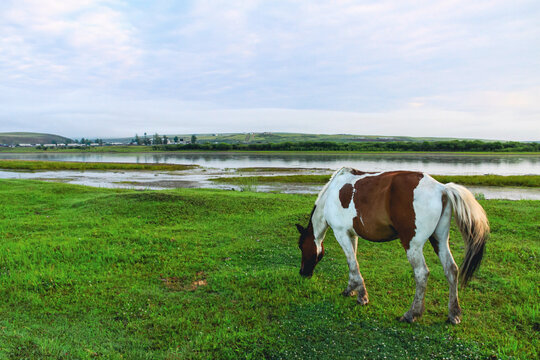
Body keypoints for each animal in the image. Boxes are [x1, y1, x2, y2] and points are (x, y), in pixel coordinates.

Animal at [296, 167, 490, 324]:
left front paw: (362, 296)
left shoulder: (341, 232)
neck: (332, 193)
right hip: (440, 240)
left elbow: (352, 263)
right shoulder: (352, 235)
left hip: (412, 245)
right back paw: (454, 313)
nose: (303, 273)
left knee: (422, 274)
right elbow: (353, 263)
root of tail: (442, 189)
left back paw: (412, 314)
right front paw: (351, 289)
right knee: (451, 270)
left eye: (301, 246)